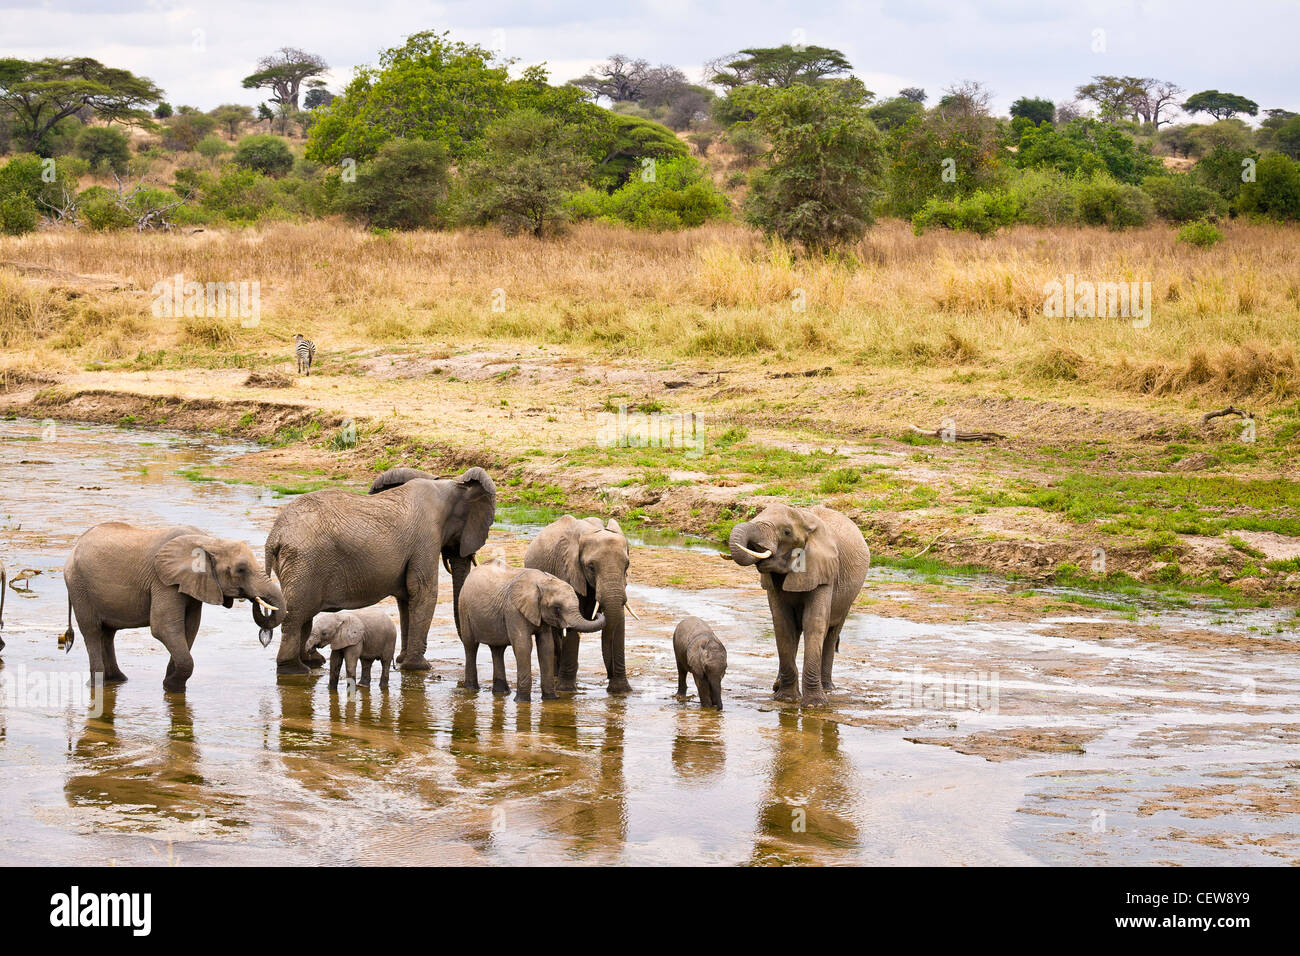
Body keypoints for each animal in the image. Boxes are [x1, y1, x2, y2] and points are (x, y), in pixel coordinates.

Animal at [62, 522, 285, 693]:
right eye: (241, 570)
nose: (255, 600)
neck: (209, 541)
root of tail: (74, 547)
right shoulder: (164, 582)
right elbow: (164, 628)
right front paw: (171, 686)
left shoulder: (194, 585)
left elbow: (190, 629)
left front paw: (171, 684)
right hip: (79, 587)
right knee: (92, 631)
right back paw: (98, 685)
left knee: (108, 633)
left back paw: (118, 680)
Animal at [265, 466, 495, 675]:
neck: (449, 486)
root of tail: (275, 536)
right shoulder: (427, 537)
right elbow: (424, 591)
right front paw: (419, 667)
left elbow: (406, 597)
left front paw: (402, 661)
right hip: (304, 562)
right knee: (296, 614)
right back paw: (294, 670)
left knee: (304, 613)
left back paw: (312, 662)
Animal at [458, 557, 606, 702]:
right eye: (557, 608)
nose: (598, 613)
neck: (542, 582)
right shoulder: (513, 610)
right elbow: (523, 646)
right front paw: (522, 701)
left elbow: (546, 647)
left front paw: (551, 699)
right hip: (464, 607)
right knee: (470, 646)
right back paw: (472, 689)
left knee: (497, 650)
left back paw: (501, 692)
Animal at [524, 515, 632, 694]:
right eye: (591, 567)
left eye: (627, 565)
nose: (608, 675)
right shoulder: (566, 570)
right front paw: (567, 690)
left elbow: (619, 621)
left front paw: (621, 690)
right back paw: (557, 676)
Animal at [728, 504, 869, 707]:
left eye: (786, 532)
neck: (803, 518)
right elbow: (782, 624)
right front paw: (786, 698)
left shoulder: (825, 572)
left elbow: (814, 623)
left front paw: (814, 705)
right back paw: (777, 686)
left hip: (848, 599)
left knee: (831, 633)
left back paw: (827, 688)